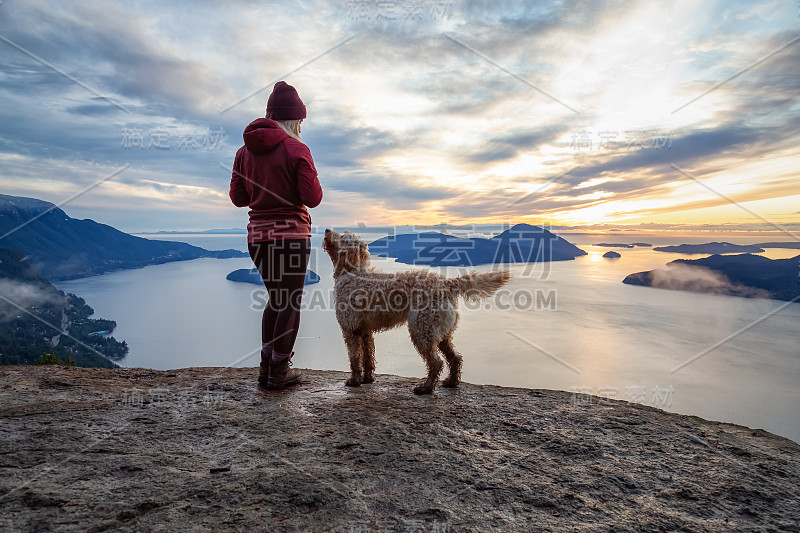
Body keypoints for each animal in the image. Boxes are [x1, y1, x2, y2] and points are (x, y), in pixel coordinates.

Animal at [322, 227, 510, 392]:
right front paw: (368, 379)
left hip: (421, 330)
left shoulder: (350, 329)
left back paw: (426, 388)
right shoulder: (365, 331)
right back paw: (451, 382)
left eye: (343, 237)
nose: (326, 230)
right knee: (455, 358)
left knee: (436, 362)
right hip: (440, 332)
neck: (353, 272)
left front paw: (354, 381)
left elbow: (354, 358)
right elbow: (368, 357)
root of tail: (446, 283)